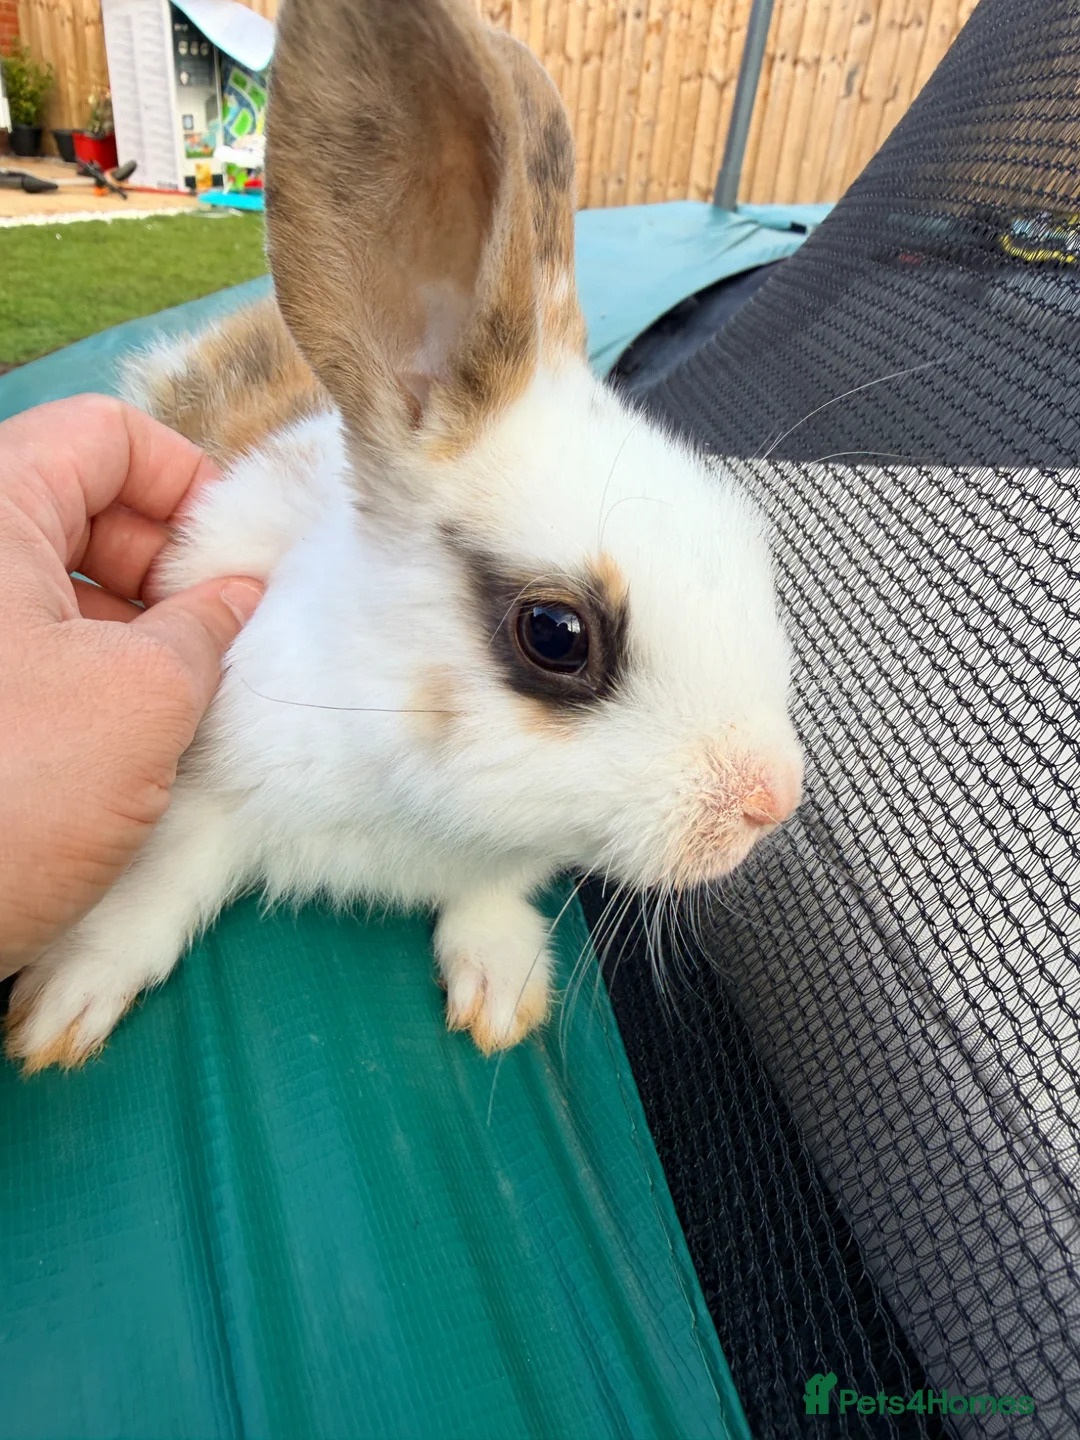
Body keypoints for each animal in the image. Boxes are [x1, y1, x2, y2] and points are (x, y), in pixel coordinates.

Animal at [5, 0, 804, 1072]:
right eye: (556, 635)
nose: (773, 801)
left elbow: (491, 895)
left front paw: (501, 989)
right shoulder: (199, 784)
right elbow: (159, 881)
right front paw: (61, 1006)